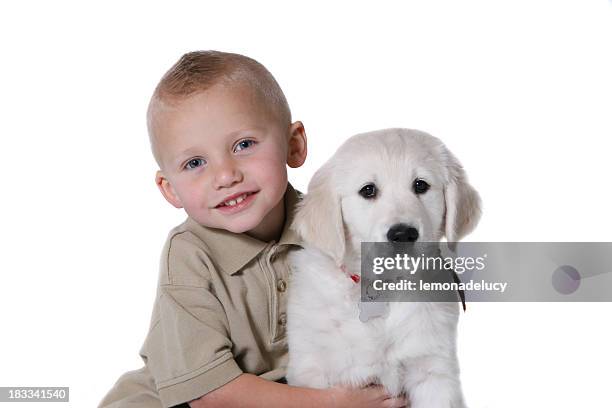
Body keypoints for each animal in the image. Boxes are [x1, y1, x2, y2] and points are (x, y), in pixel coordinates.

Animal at [284, 128, 480, 408]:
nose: (403, 234)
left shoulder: (433, 371)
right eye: (368, 190)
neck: (383, 288)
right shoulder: (313, 372)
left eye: (421, 185)